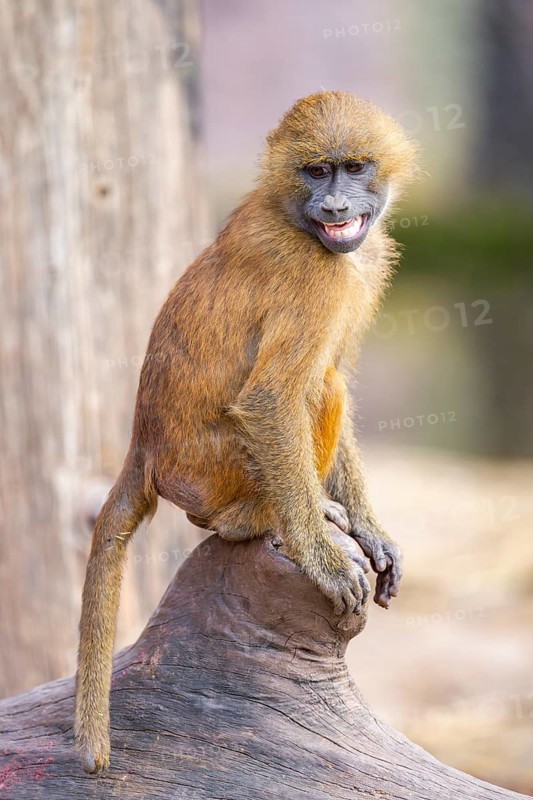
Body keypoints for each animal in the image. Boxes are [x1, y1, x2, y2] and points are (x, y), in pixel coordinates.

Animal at [75, 91, 418, 774]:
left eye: (354, 167)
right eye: (316, 171)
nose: (335, 208)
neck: (298, 221)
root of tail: (144, 446)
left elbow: (336, 372)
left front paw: (372, 530)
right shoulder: (316, 279)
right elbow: (272, 398)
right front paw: (322, 559)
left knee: (328, 379)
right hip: (213, 475)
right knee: (315, 387)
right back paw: (261, 522)